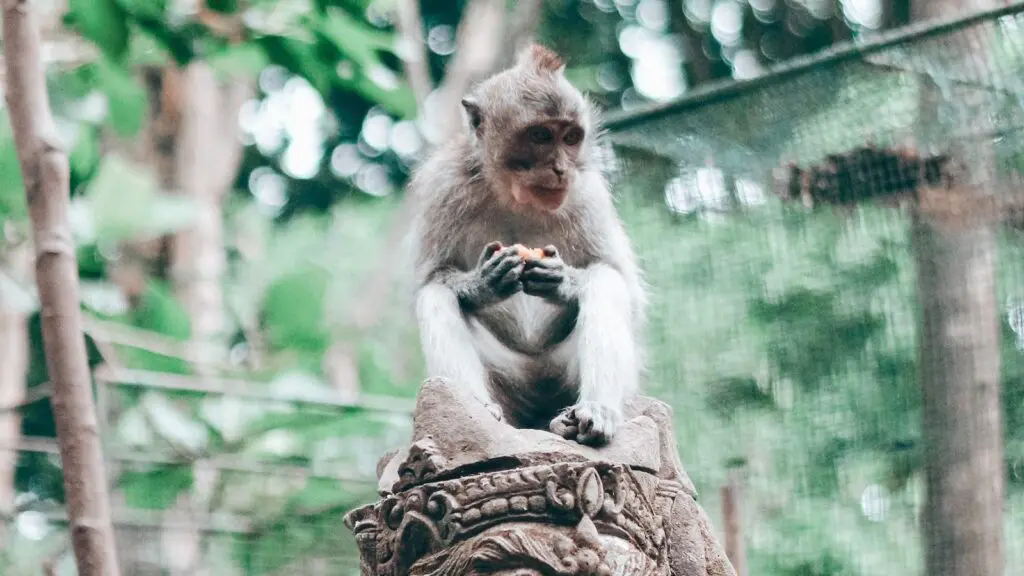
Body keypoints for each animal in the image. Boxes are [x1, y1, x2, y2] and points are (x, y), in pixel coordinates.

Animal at [406, 43, 647, 446]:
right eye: (541, 136)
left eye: (570, 138)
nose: (560, 169)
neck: (514, 195)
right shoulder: (442, 185)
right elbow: (430, 279)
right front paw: (481, 284)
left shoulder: (587, 193)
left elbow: (622, 284)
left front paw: (563, 281)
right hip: (508, 380)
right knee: (436, 297)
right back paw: (476, 412)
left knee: (605, 283)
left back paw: (591, 414)